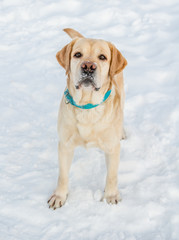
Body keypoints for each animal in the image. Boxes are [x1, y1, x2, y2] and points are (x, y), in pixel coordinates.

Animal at [47, 27, 127, 208]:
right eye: (78, 54)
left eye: (102, 57)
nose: (88, 66)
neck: (87, 107)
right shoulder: (65, 145)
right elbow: (63, 176)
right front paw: (59, 196)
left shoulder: (112, 148)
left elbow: (112, 176)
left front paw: (111, 195)